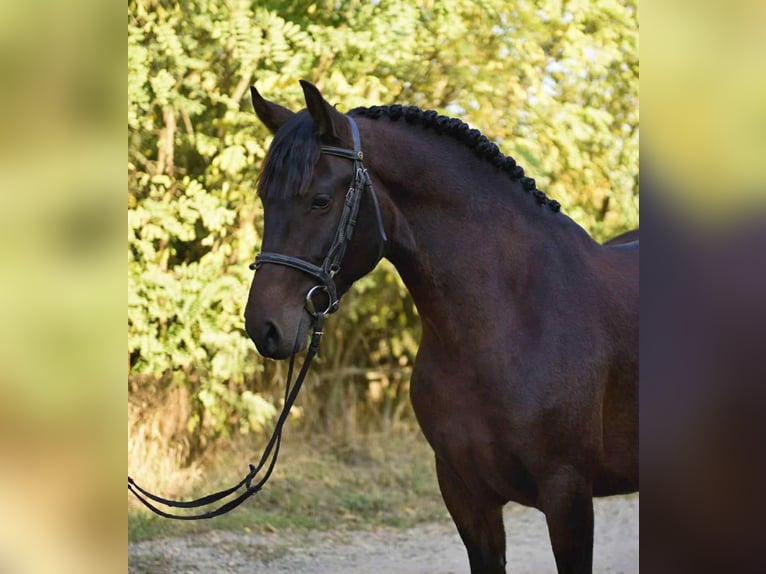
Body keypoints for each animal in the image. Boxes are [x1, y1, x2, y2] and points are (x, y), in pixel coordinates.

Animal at [243, 80, 638, 574]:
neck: (509, 322)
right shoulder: (465, 494)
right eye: (265, 199)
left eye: (320, 200)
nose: (264, 325)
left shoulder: (568, 496)